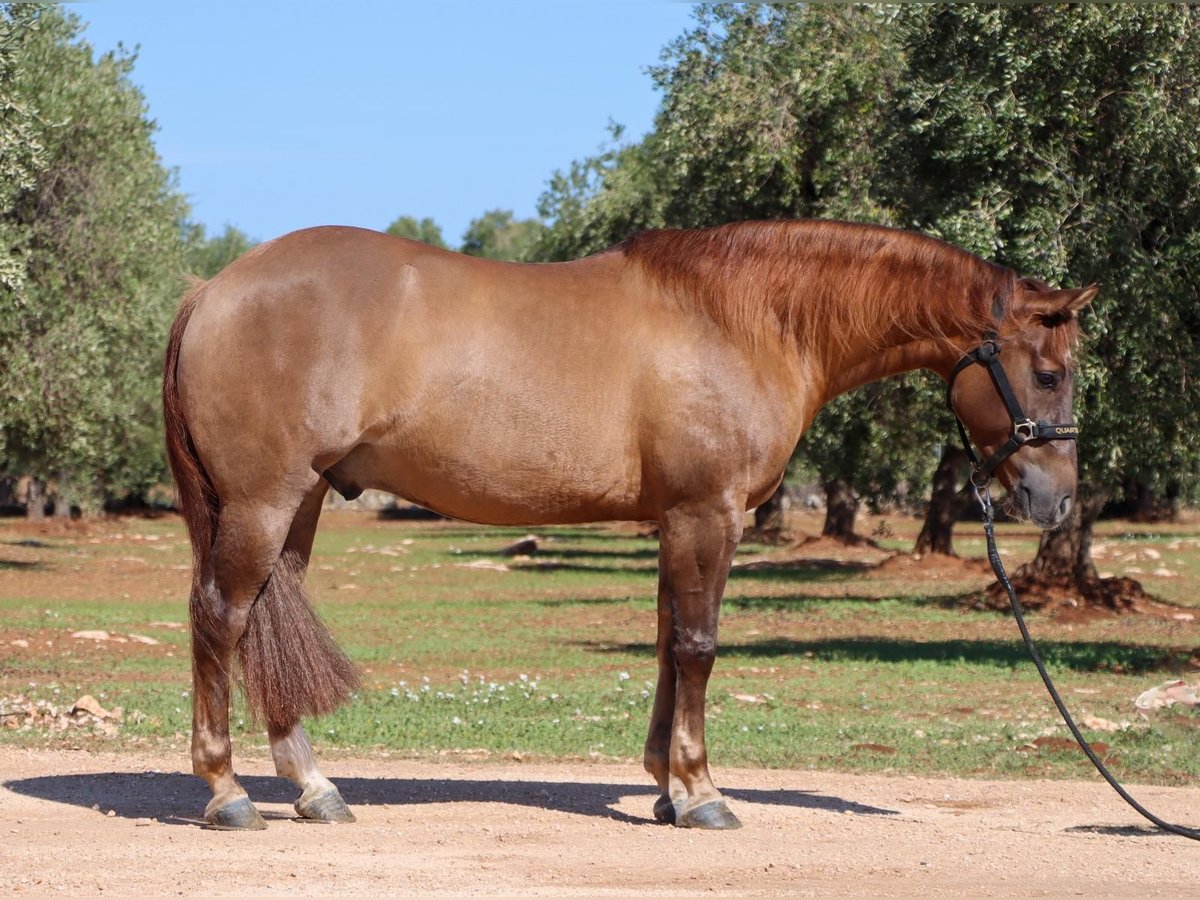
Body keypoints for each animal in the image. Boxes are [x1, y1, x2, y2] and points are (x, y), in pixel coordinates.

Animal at [162, 219, 1096, 831]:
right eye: (1049, 375)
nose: (1057, 500)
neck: (743, 319)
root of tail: (212, 289)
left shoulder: (675, 522)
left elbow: (665, 643)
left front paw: (665, 788)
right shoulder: (708, 515)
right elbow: (698, 648)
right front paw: (704, 793)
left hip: (302, 503)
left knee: (265, 626)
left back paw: (315, 790)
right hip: (263, 502)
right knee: (221, 618)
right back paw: (227, 794)